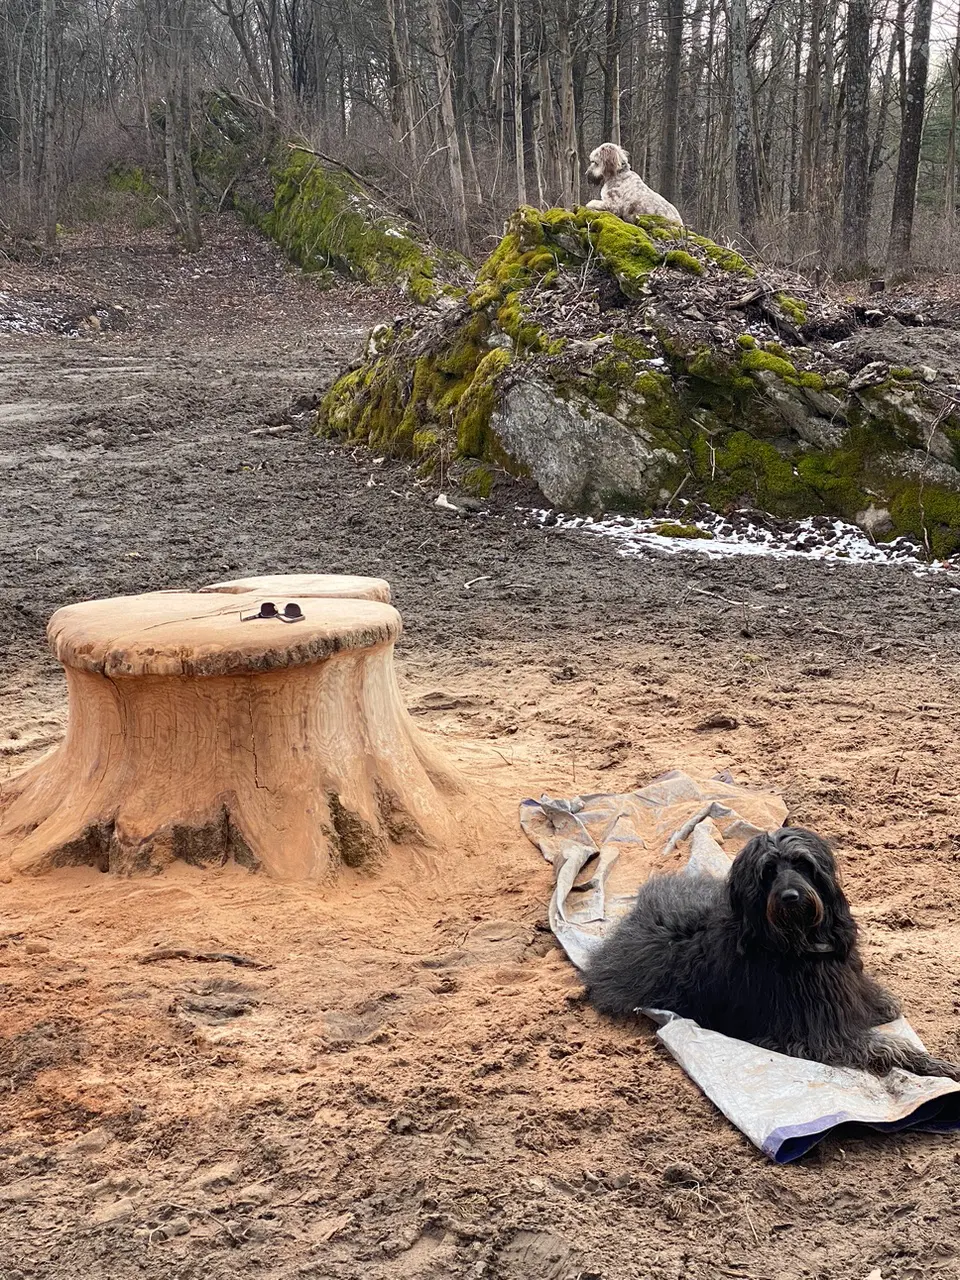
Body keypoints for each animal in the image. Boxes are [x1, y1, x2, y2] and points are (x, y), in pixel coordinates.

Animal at [586, 824, 960, 1075]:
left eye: (803, 865)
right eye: (767, 872)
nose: (791, 897)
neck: (797, 942)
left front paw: (882, 1004)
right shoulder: (820, 1036)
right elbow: (888, 1046)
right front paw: (934, 1064)